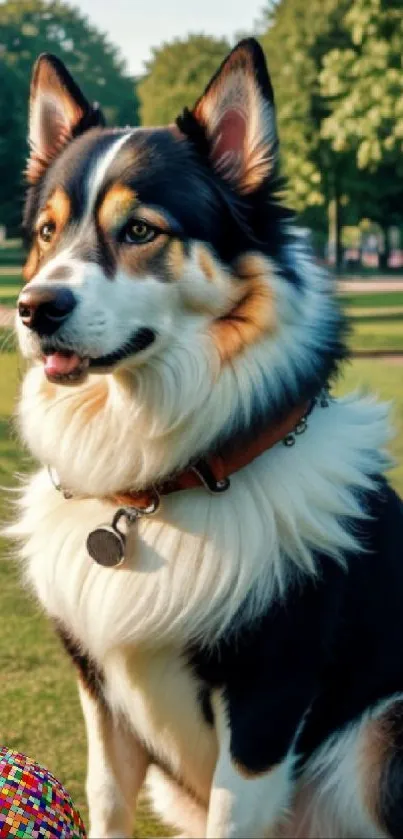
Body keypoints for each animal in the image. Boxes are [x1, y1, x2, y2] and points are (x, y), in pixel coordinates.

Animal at [7, 36, 403, 836]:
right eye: (46, 231)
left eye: (139, 230)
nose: (33, 308)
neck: (156, 486)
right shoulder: (100, 689)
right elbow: (105, 797)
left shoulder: (268, 696)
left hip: (383, 736)